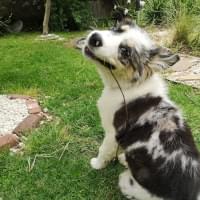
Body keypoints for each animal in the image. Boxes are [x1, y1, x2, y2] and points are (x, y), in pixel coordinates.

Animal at [81, 18, 200, 199]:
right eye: (115, 29)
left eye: (125, 52)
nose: (95, 37)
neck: (130, 86)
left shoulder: (112, 133)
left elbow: (104, 150)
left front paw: (97, 164)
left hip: (125, 181)